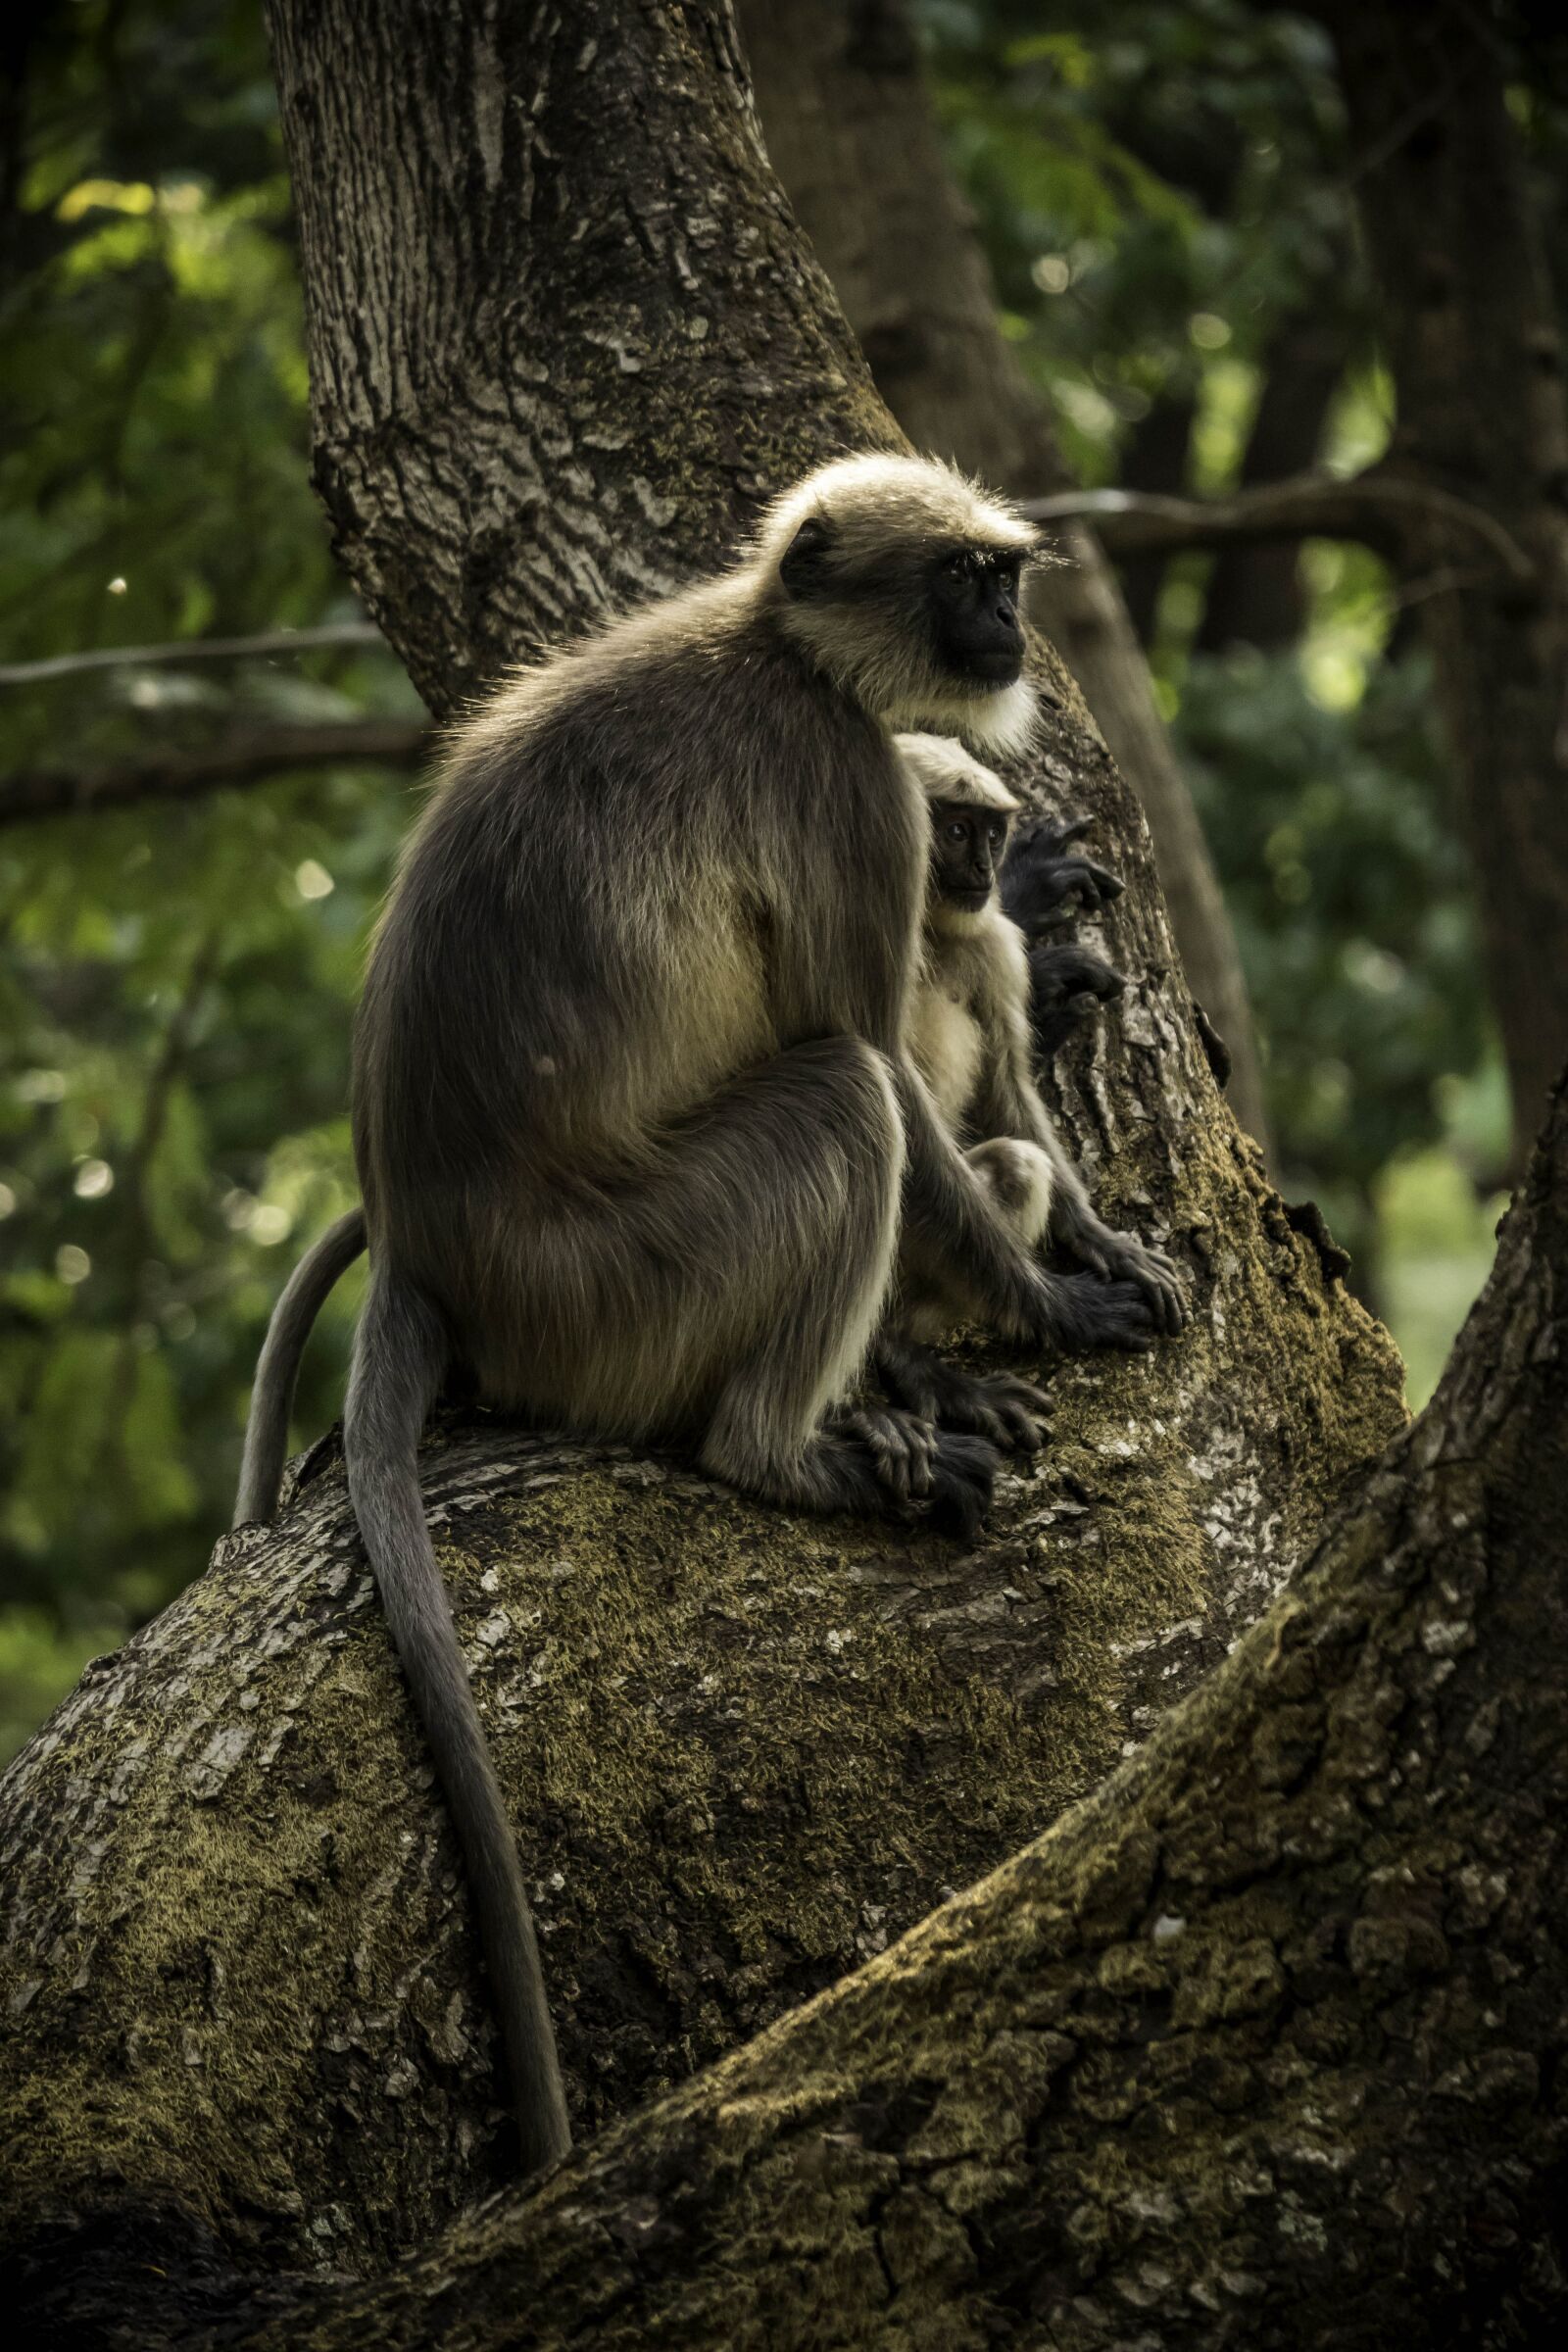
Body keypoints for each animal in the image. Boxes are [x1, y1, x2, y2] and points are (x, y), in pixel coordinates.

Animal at [873, 732, 1185, 1441]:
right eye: (957, 831)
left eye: (992, 834)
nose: (985, 868)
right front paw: (1063, 1309)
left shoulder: (991, 942)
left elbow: (1004, 1087)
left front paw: (1096, 1238)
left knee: (1017, 1165)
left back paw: (903, 1352)